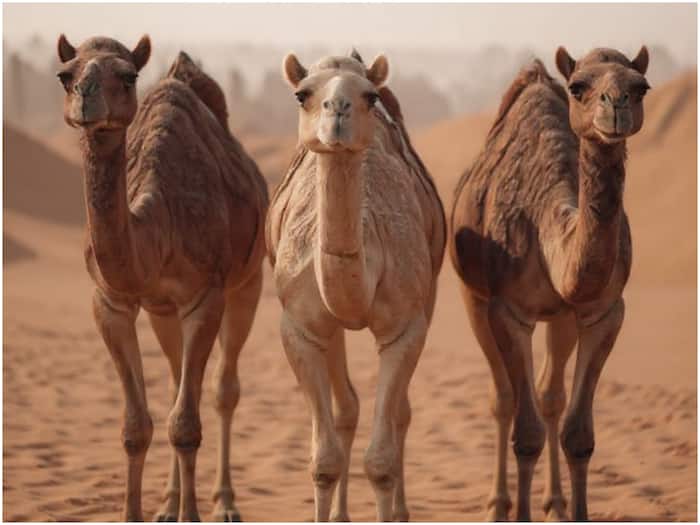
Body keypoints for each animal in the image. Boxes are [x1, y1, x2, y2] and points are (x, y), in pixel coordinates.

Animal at [56, 35, 269, 521]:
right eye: (65, 74)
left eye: (128, 75)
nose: (86, 98)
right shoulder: (111, 302)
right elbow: (137, 427)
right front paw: (136, 513)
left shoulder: (205, 298)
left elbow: (186, 426)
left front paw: (194, 513)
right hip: (161, 312)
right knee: (175, 382)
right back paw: (168, 504)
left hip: (247, 285)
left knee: (224, 389)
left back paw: (224, 502)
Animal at [266, 50, 446, 522]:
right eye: (303, 94)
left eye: (369, 96)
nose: (338, 111)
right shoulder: (299, 329)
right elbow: (323, 460)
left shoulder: (405, 327)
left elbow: (381, 461)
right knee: (346, 407)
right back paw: (341, 513)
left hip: (430, 292)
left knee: (400, 413)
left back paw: (401, 510)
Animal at [450, 46, 650, 521]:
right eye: (579, 87)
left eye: (640, 87)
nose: (616, 105)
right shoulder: (507, 312)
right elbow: (526, 434)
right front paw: (515, 511)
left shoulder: (604, 312)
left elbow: (578, 434)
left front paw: (575, 511)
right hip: (472, 297)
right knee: (503, 397)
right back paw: (497, 503)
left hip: (559, 318)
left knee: (549, 396)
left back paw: (555, 502)